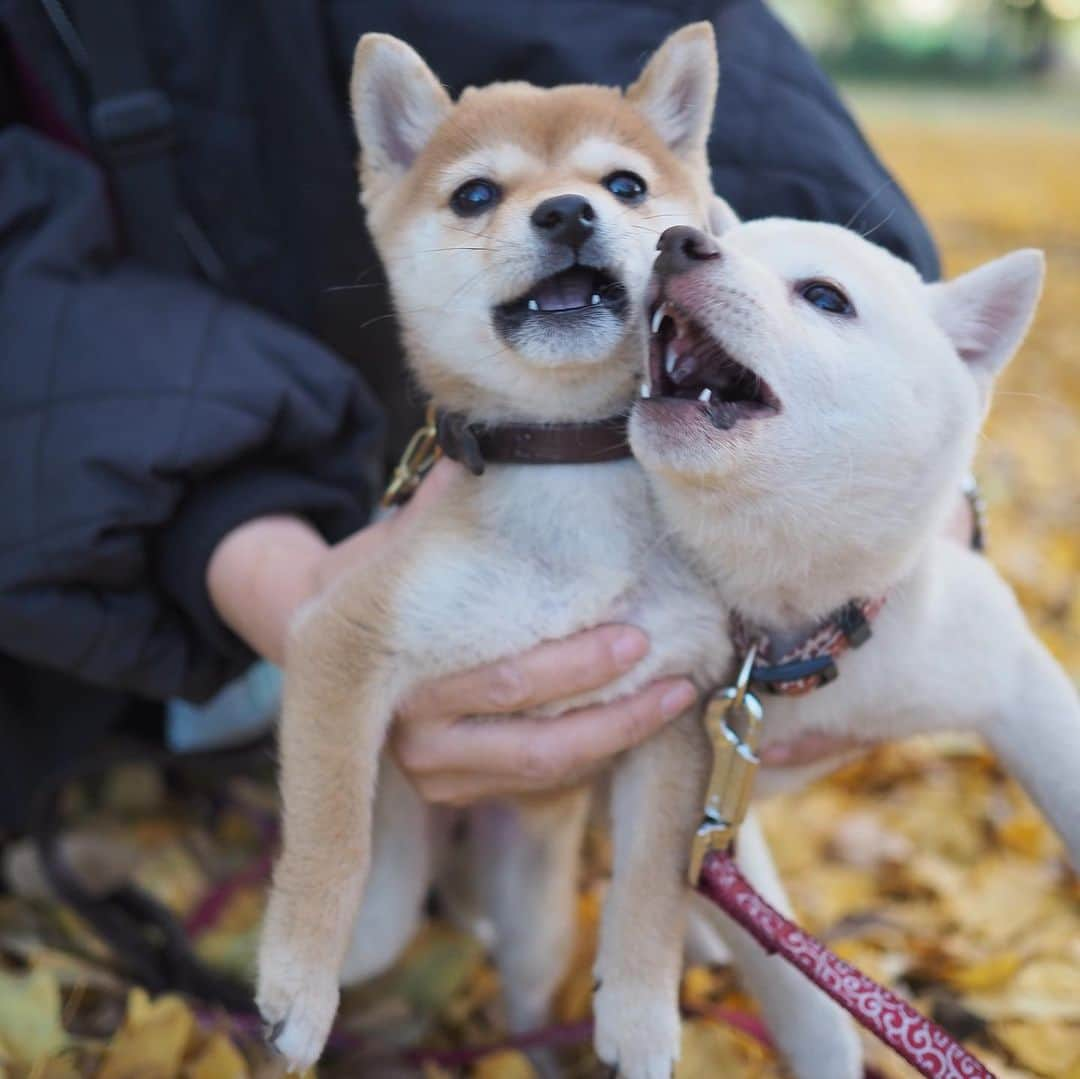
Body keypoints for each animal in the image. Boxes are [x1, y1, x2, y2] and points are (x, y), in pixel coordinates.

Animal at [252, 19, 859, 1079]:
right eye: (475, 195)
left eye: (624, 184)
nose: (569, 212)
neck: (567, 469)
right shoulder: (339, 638)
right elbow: (330, 834)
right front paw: (297, 981)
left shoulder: (676, 711)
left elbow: (651, 889)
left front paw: (644, 1017)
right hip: (405, 881)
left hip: (531, 903)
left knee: (531, 981)